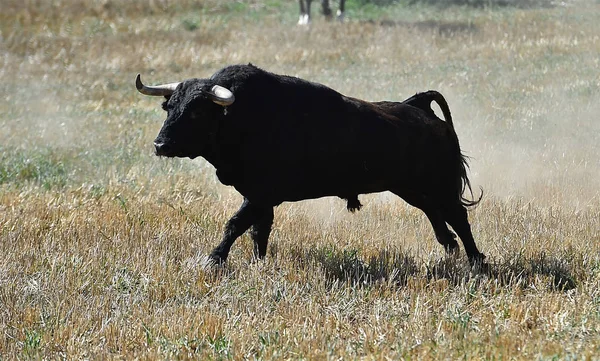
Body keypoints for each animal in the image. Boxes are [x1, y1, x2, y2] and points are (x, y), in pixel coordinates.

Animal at [134, 62, 486, 264]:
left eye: (196, 111)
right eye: (169, 107)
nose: (160, 145)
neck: (242, 118)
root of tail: (420, 107)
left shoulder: (258, 195)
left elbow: (235, 224)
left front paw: (214, 259)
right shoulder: (261, 198)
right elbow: (258, 230)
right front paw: (258, 262)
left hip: (439, 185)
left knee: (458, 216)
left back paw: (476, 260)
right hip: (411, 188)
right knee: (436, 214)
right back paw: (450, 248)